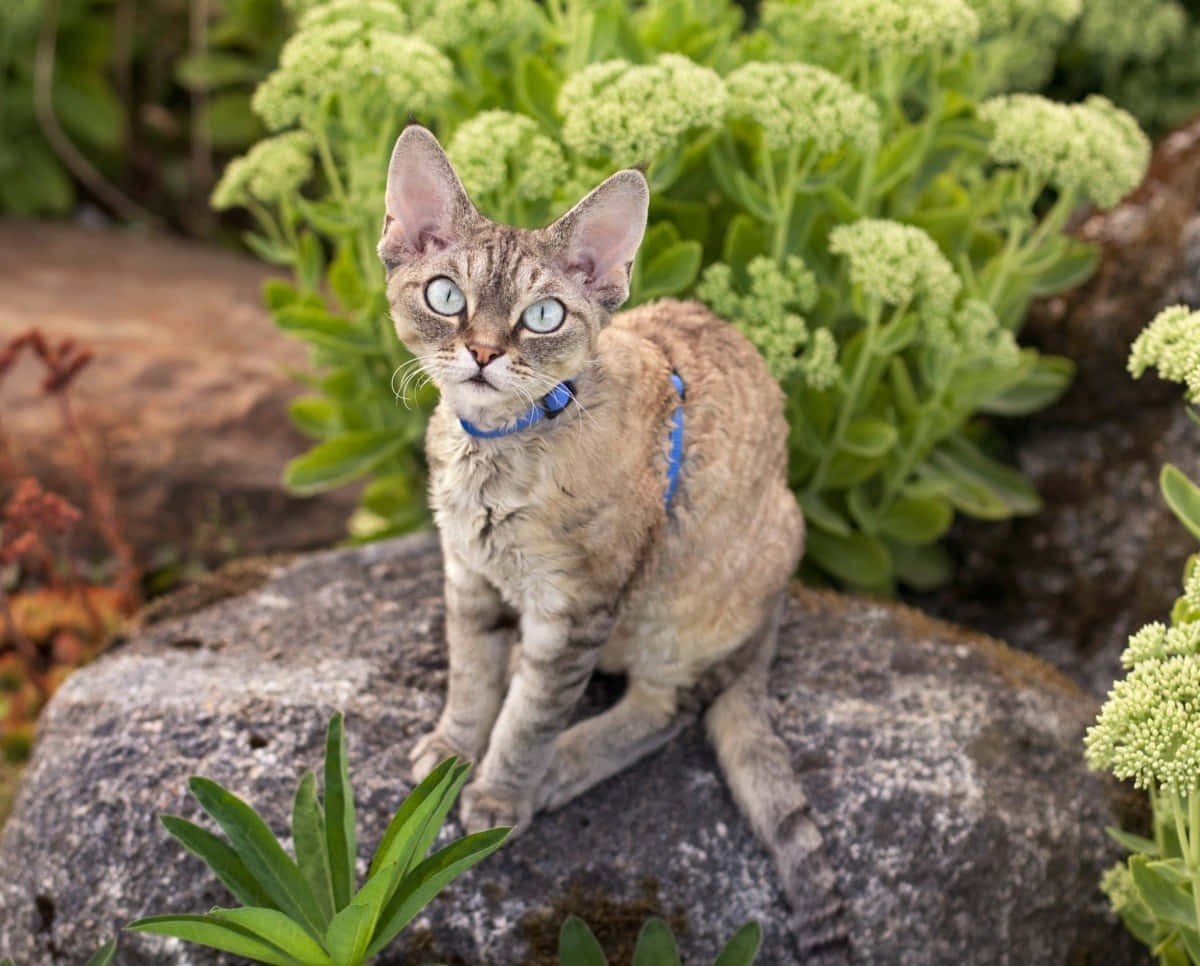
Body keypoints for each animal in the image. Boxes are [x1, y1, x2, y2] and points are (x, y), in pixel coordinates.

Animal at [379, 124, 840, 955]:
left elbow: (529, 715)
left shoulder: (577, 607)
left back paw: (563, 764)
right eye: (445, 296)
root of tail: (775, 610)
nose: (485, 353)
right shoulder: (468, 574)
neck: (498, 455)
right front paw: (452, 753)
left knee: (664, 712)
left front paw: (500, 792)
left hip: (684, 612)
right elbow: (470, 674)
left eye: (543, 316)